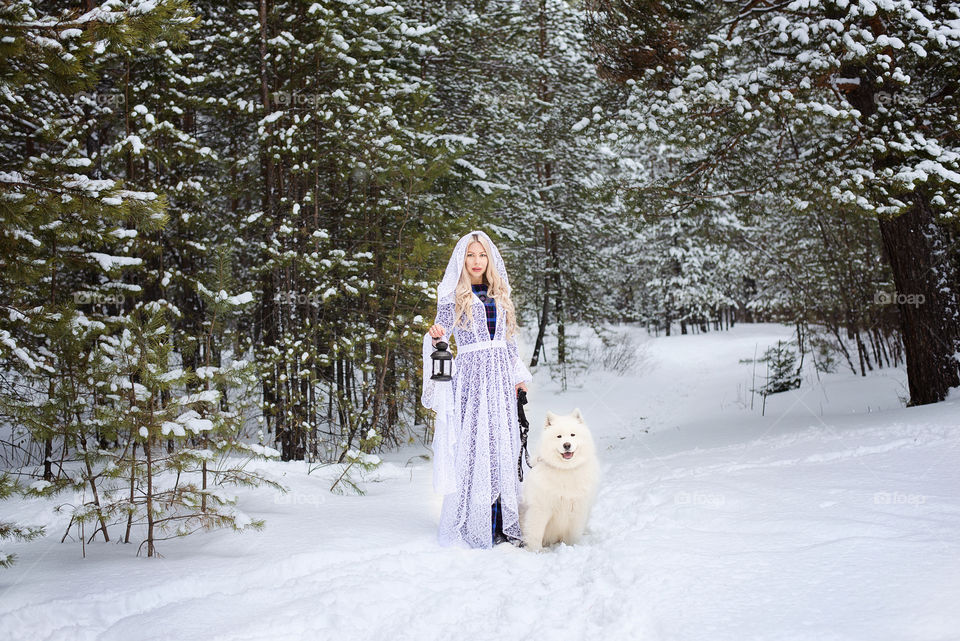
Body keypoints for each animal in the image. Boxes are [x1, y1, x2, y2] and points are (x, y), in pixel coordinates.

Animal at [520, 410, 596, 552]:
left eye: (572, 435)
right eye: (559, 436)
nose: (567, 445)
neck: (565, 470)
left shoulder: (578, 509)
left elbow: (572, 535)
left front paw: (572, 548)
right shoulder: (540, 509)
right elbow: (536, 533)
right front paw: (536, 551)